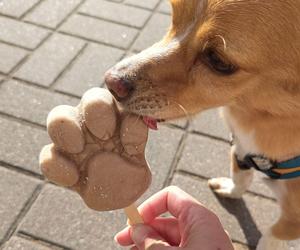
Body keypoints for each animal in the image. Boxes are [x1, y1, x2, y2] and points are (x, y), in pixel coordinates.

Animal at [105, 0, 300, 249]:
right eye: (173, 17)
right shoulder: (241, 149)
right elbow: (240, 177)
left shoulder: (293, 221)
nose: (111, 82)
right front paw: (230, 189)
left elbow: (269, 236)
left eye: (218, 60)